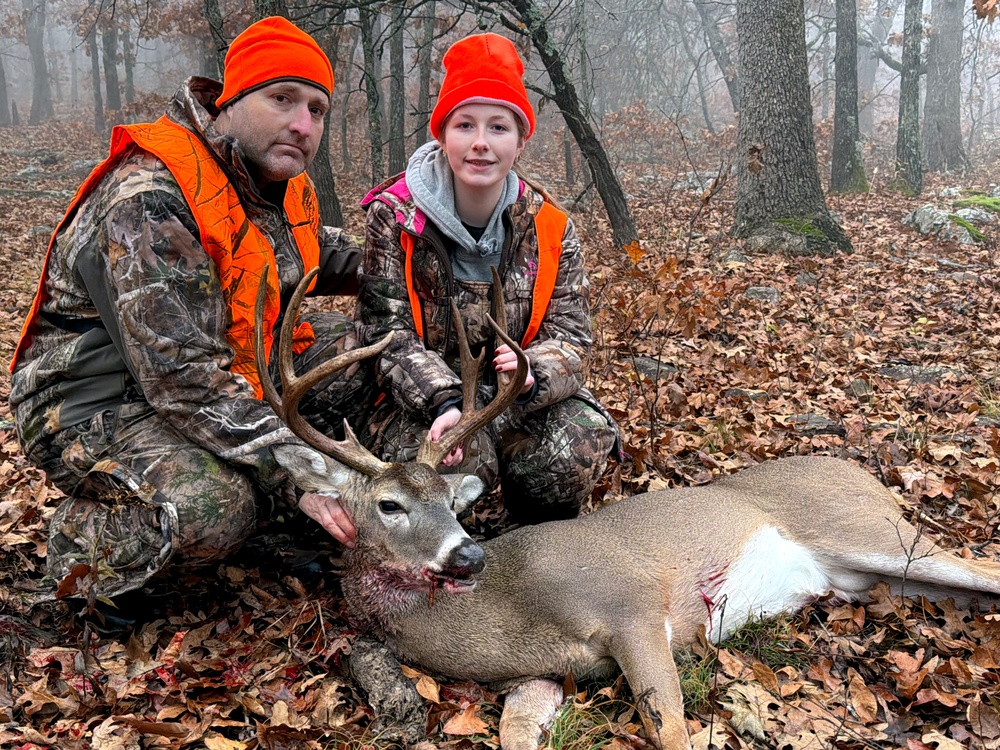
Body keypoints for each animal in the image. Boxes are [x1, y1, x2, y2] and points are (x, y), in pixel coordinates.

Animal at [256, 268, 1000, 750]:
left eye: (450, 500)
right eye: (390, 504)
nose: (465, 554)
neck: (510, 615)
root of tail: (862, 473)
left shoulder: (631, 605)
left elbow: (669, 729)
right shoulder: (538, 674)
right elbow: (517, 735)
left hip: (866, 530)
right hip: (877, 574)